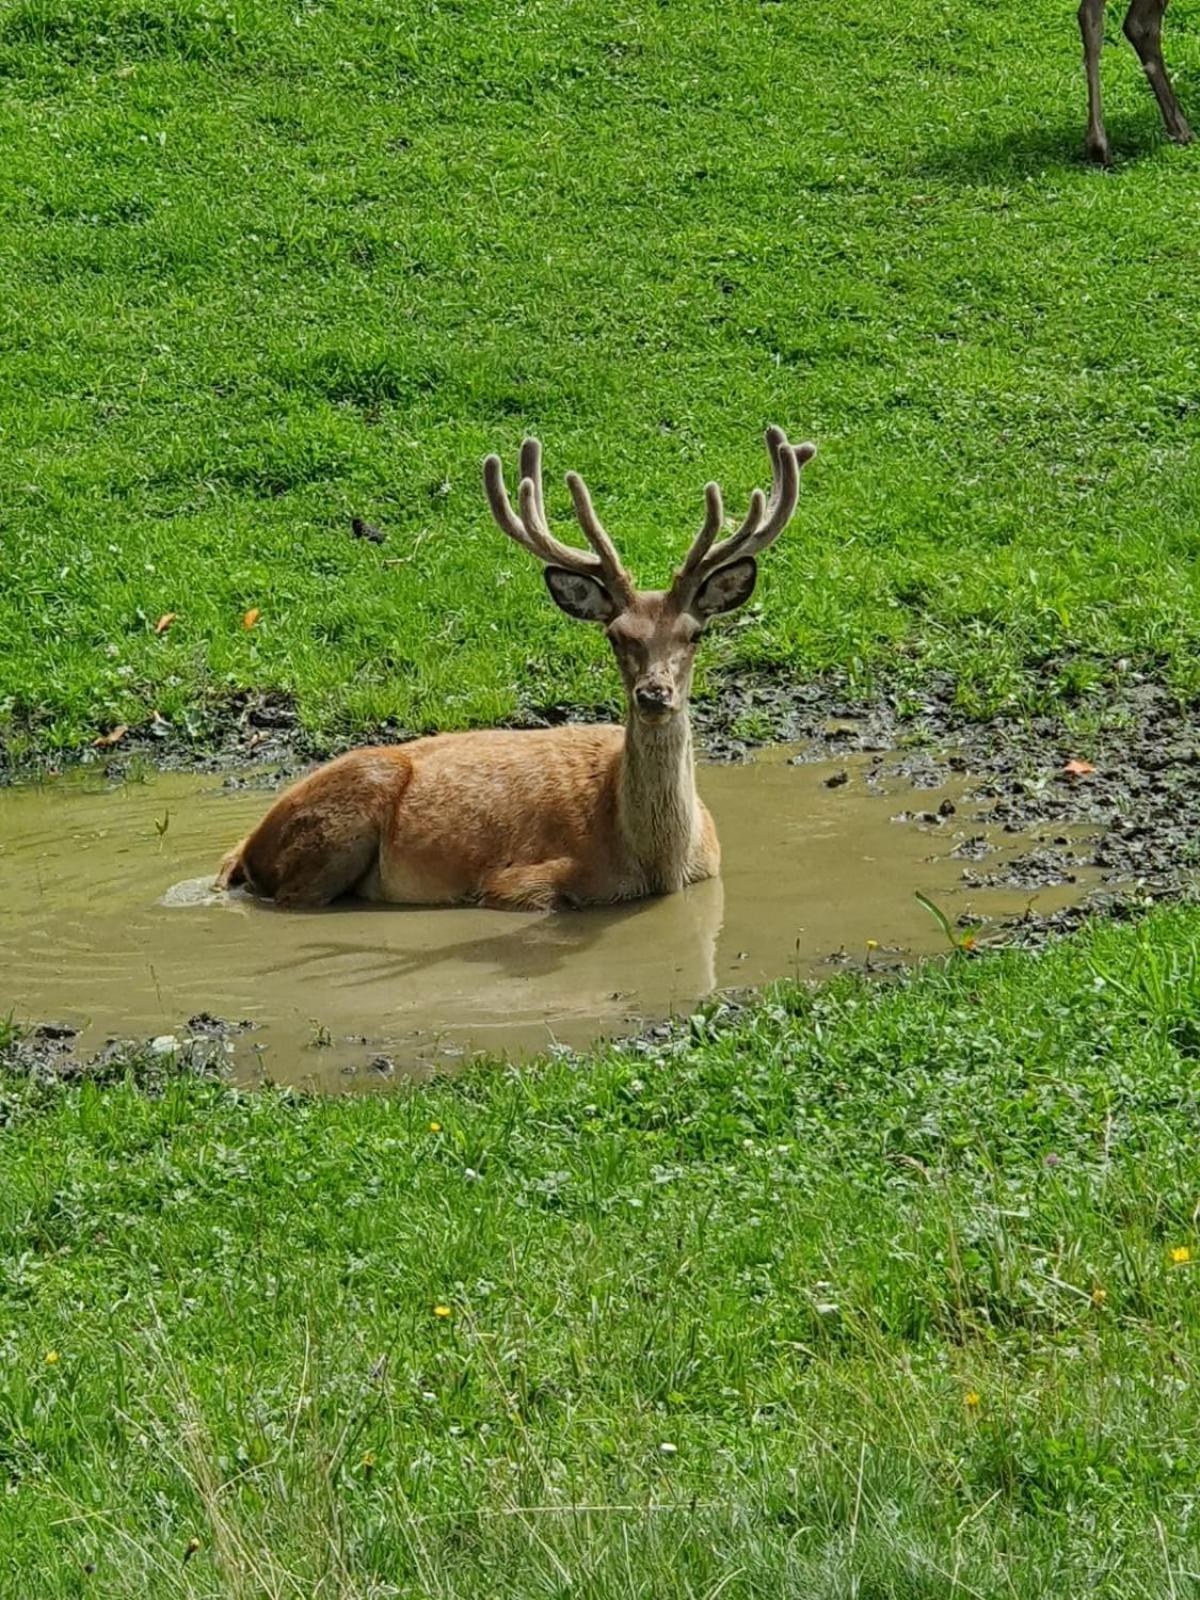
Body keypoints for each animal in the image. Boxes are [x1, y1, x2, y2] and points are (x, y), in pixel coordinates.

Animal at [216, 428, 819, 915]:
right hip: (339, 822)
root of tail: (246, 845)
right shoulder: (515, 882)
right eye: (615, 636)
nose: (654, 694)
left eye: (695, 633)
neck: (659, 863)